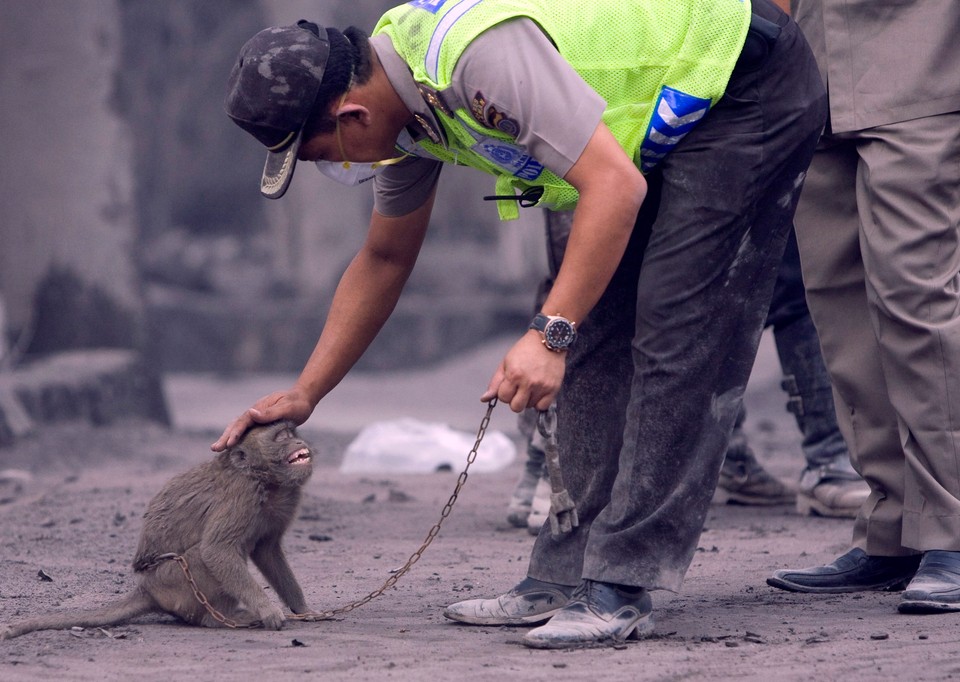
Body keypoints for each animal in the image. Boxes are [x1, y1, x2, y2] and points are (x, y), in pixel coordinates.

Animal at [1, 420, 316, 636]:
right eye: (281, 436)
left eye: (291, 432)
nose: (298, 441)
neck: (265, 480)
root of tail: (147, 589)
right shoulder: (242, 496)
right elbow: (216, 550)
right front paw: (268, 610)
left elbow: (267, 551)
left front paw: (303, 609)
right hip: (174, 581)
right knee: (199, 557)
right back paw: (215, 619)